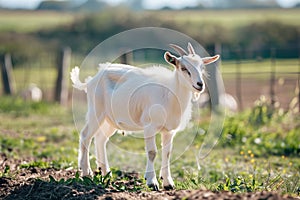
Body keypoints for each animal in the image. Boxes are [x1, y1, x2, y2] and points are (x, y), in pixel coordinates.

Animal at [71, 43, 220, 190]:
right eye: (183, 68)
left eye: (202, 68)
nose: (200, 85)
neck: (169, 94)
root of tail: (92, 79)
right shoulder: (150, 126)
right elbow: (152, 152)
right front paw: (152, 182)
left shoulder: (169, 131)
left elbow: (167, 153)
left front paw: (168, 183)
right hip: (96, 111)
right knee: (86, 135)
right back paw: (86, 173)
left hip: (110, 120)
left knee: (100, 139)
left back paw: (106, 173)